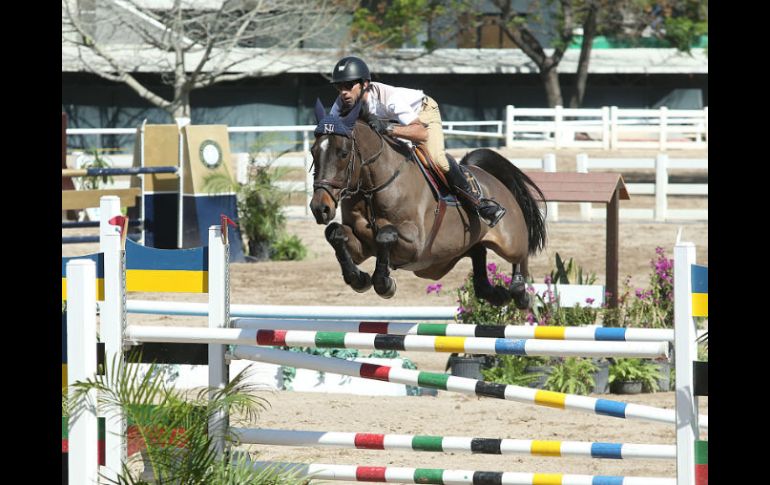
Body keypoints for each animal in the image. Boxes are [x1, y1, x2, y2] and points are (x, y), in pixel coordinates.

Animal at [306, 99, 544, 308]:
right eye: (313, 151)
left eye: (343, 153)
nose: (320, 208)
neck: (372, 188)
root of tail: (488, 177)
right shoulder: (362, 245)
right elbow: (335, 233)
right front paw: (359, 279)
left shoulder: (416, 244)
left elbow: (385, 234)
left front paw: (384, 283)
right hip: (443, 260)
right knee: (478, 256)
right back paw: (498, 295)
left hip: (509, 241)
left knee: (520, 255)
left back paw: (520, 292)